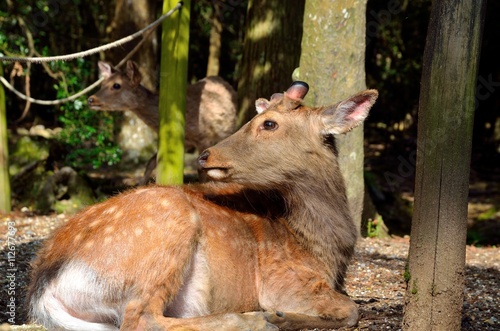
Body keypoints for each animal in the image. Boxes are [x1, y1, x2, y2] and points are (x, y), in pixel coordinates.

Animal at [28, 81, 378, 330]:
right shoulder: (284, 279)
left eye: (269, 124)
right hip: (167, 224)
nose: (206, 155)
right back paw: (252, 320)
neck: (324, 249)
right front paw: (279, 316)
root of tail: (44, 287)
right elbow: (351, 310)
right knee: (141, 318)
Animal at [87, 60, 237, 184]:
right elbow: (151, 162)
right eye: (102, 84)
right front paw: (140, 186)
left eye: (116, 85)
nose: (91, 99)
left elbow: (203, 171)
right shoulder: (185, 143)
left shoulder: (204, 137)